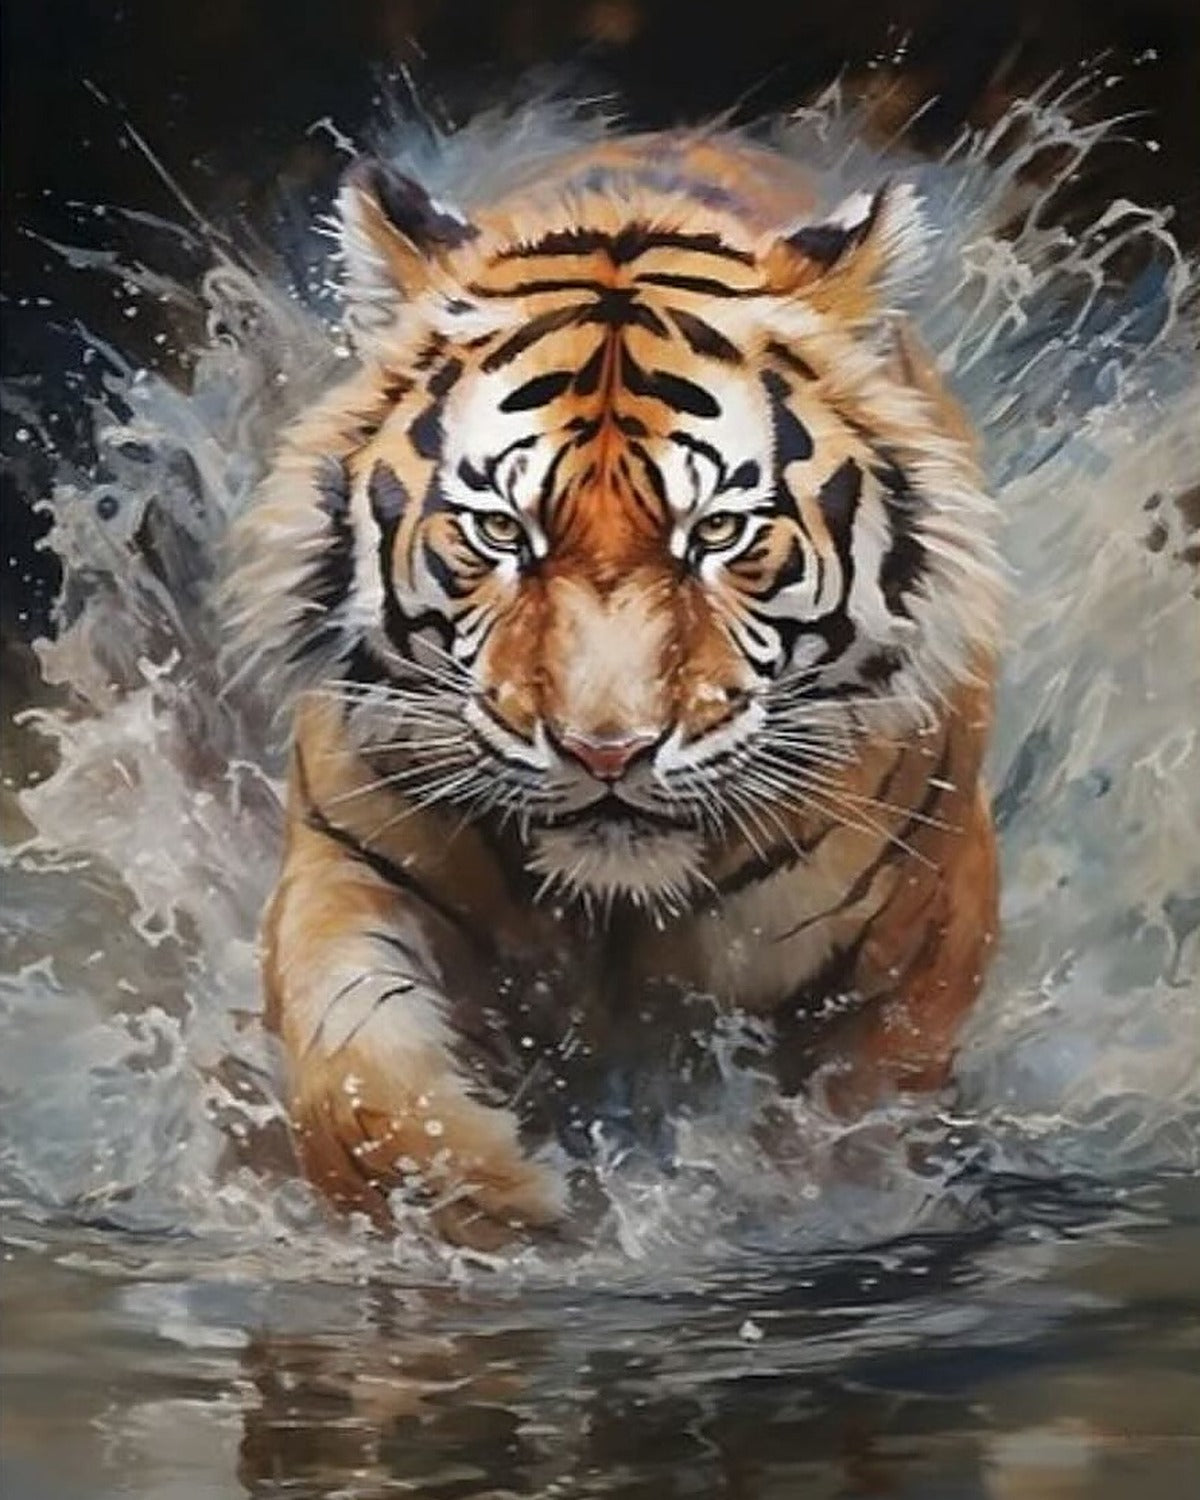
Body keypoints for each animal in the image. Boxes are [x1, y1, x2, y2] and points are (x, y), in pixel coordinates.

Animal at [226, 131, 1002, 1248]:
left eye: (716, 533)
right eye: (500, 531)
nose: (606, 751)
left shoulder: (921, 929)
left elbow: (854, 1118)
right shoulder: (347, 856)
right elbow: (361, 1075)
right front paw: (489, 1196)